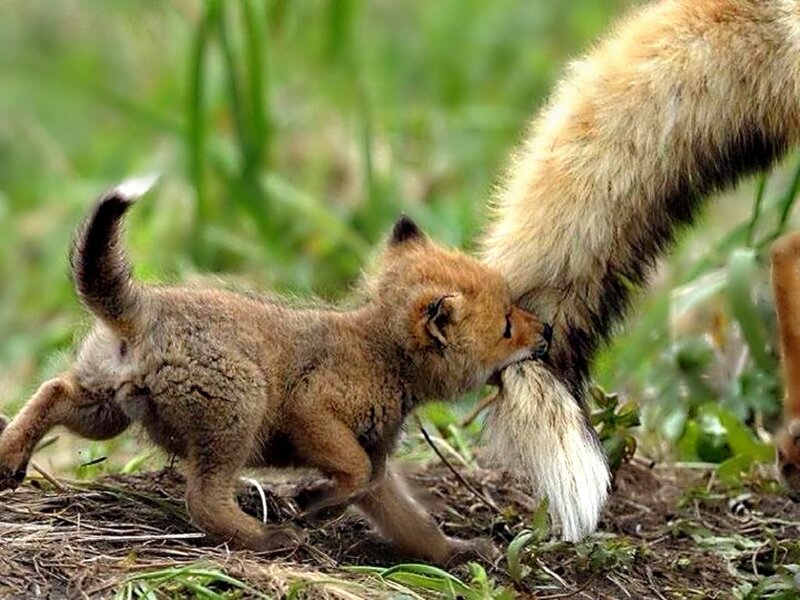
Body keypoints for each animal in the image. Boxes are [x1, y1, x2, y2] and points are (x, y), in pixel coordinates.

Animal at [0, 179, 551, 563]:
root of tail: (145, 308)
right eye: (506, 326)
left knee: (52, 389)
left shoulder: (378, 461)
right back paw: (267, 539)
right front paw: (311, 502)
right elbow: (353, 473)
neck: (380, 354)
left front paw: (456, 552)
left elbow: (405, 517)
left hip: (104, 409)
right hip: (240, 409)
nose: (546, 330)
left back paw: (9, 458)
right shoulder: (312, 411)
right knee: (203, 499)